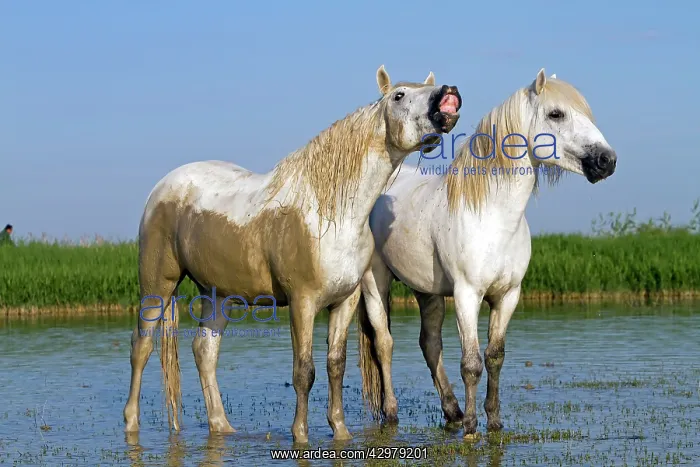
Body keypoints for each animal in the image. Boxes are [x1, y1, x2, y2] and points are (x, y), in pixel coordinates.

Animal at [122, 65, 463, 444]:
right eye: (399, 95)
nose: (447, 97)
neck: (331, 212)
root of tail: (163, 188)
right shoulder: (302, 302)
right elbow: (304, 370)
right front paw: (300, 434)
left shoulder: (344, 301)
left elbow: (335, 365)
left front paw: (340, 430)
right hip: (157, 285)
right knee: (141, 346)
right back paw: (132, 423)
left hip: (218, 295)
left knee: (204, 352)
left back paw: (221, 426)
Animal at [356, 69, 617, 438]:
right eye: (556, 114)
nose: (607, 161)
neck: (493, 216)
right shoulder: (468, 295)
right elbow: (471, 363)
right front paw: (471, 428)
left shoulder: (507, 296)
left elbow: (495, 356)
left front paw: (493, 420)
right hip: (375, 283)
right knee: (384, 344)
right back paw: (392, 412)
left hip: (427, 291)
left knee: (430, 344)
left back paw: (451, 410)